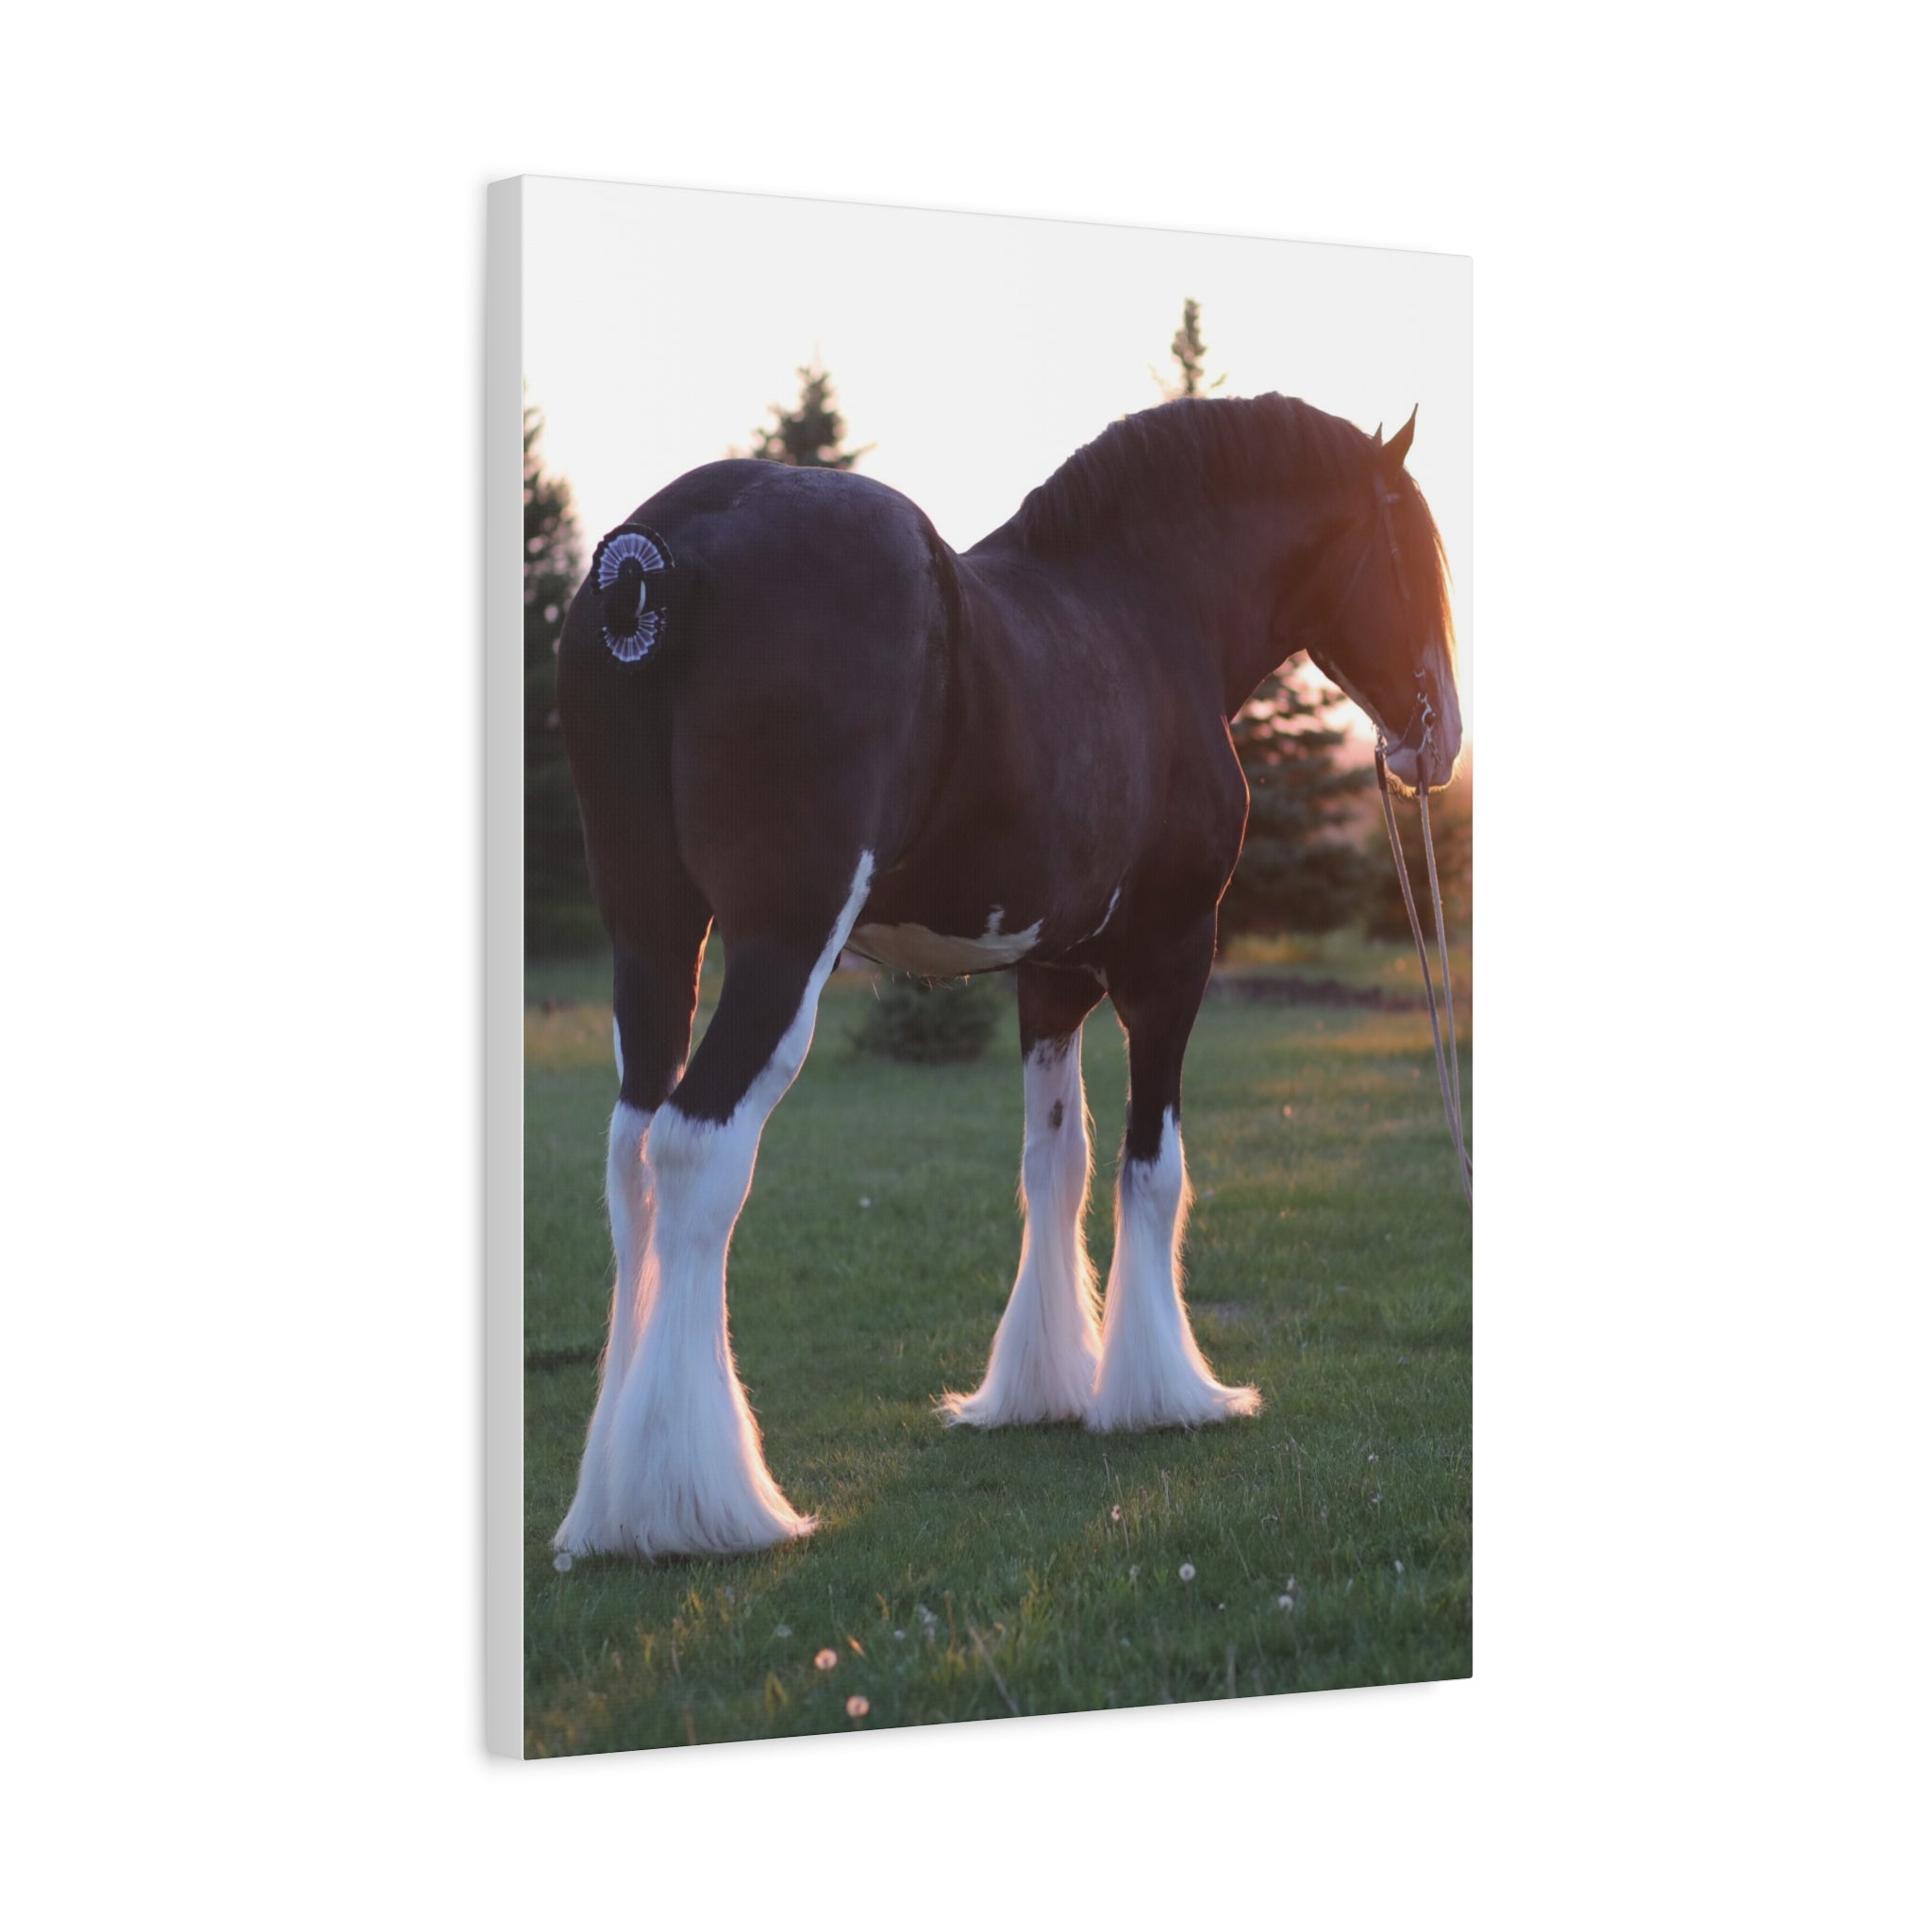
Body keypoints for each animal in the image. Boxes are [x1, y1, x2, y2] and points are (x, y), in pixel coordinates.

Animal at [550, 392, 1462, 1562]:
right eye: (1413, 549)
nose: (1438, 741)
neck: (1141, 611)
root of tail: (654, 554)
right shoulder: (1173, 956)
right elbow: (1151, 1168)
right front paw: (1160, 1392)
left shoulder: (1048, 975)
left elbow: (1054, 1165)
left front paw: (1042, 1384)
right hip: (780, 942)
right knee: (697, 1148)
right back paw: (696, 1504)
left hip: (654, 933)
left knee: (629, 1155)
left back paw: (607, 1503)